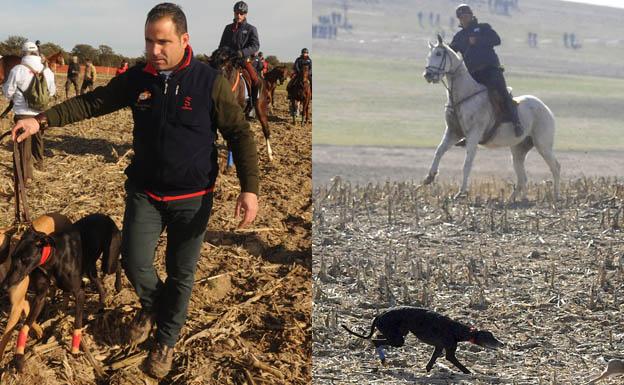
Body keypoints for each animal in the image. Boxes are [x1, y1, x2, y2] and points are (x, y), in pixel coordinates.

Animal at [420, 35, 560, 201]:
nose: (428, 75)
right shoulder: (453, 133)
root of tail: (546, 109)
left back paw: (556, 196)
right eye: (429, 55)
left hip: (543, 145)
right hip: (518, 151)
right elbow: (439, 151)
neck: (465, 95)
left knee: (555, 167)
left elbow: (467, 163)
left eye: (438, 54)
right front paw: (429, 177)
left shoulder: (473, 135)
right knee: (522, 178)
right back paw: (513, 200)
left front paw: (461, 192)